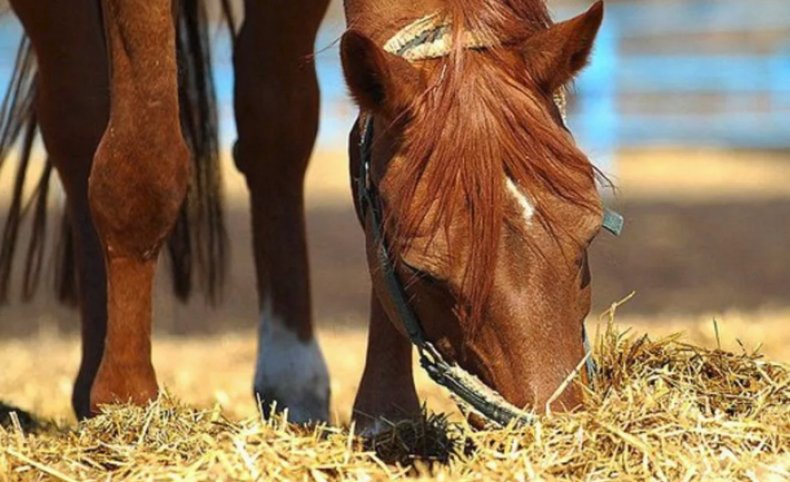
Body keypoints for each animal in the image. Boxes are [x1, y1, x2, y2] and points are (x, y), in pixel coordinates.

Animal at [0, 0, 612, 432]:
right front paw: (129, 400)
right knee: (78, 120)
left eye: (587, 240)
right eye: (423, 272)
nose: (554, 423)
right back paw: (96, 383)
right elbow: (142, 168)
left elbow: (291, 130)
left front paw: (384, 413)